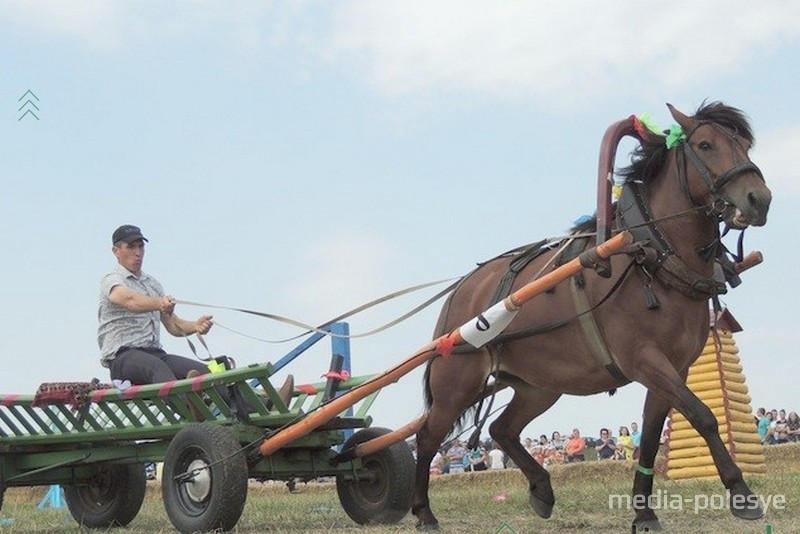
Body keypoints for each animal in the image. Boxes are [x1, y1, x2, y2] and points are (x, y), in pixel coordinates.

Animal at [412, 102, 768, 532]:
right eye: (705, 145)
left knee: (501, 428)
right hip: (457, 383)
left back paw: (542, 488)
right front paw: (741, 492)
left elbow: (651, 438)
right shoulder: (644, 360)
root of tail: (461, 290)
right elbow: (703, 416)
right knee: (427, 437)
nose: (760, 199)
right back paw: (424, 511)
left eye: (746, 145)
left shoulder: (674, 367)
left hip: (540, 385)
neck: (651, 254)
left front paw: (643, 511)